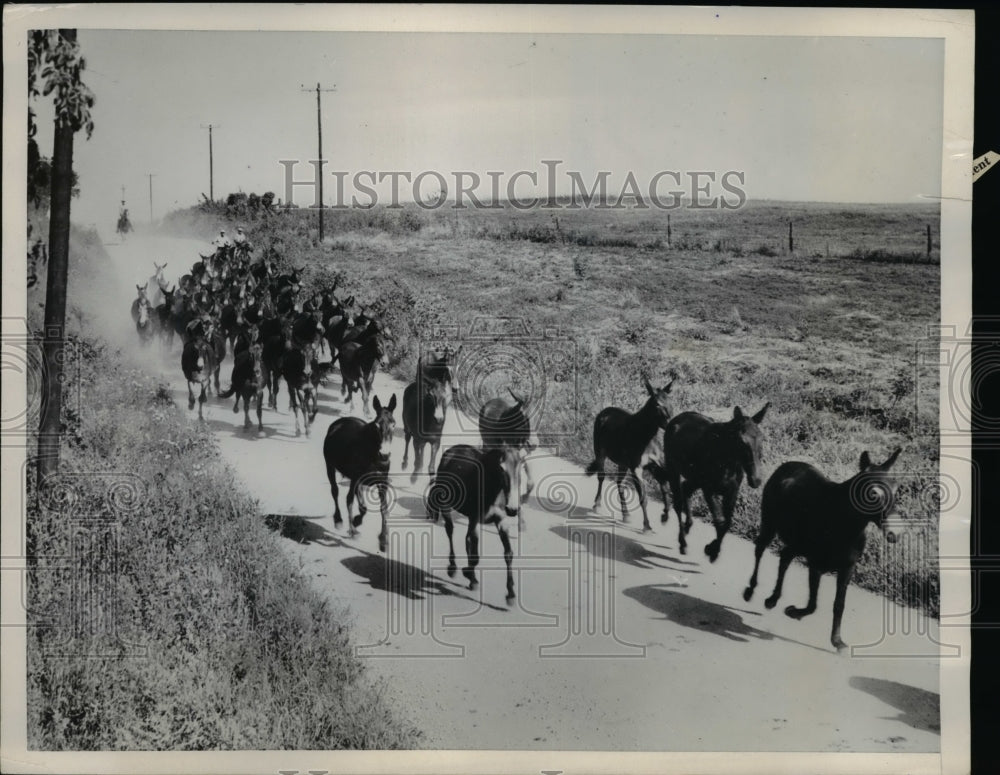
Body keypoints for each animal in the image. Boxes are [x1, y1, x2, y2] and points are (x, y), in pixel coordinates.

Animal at [322, 394, 396, 552]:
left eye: (394, 424)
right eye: (377, 425)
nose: (385, 455)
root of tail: (338, 422)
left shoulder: (382, 482)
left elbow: (383, 509)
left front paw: (383, 540)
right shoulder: (356, 477)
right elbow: (351, 500)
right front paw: (354, 526)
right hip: (330, 465)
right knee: (336, 491)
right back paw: (340, 521)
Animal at [426, 442, 528, 608]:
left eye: (521, 466)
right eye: (501, 468)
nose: (512, 509)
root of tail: (453, 449)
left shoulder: (501, 521)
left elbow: (508, 553)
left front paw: (511, 594)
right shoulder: (475, 518)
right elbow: (474, 555)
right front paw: (467, 572)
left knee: (467, 540)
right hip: (447, 505)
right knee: (450, 530)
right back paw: (453, 568)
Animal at [584, 380, 676, 536]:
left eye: (670, 401)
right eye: (657, 404)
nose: (670, 425)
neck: (646, 437)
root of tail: (604, 412)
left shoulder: (655, 466)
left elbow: (665, 490)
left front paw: (665, 517)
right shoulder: (636, 468)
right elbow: (643, 497)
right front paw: (647, 526)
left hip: (623, 463)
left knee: (619, 483)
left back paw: (626, 514)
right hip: (600, 452)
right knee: (601, 476)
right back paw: (597, 504)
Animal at [660, 404, 768, 560]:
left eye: (761, 438)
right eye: (741, 440)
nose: (756, 479)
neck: (727, 462)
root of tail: (674, 420)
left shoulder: (731, 492)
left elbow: (727, 523)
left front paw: (712, 548)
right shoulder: (709, 489)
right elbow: (719, 520)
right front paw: (713, 550)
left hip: (695, 478)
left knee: (685, 489)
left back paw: (688, 526)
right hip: (674, 468)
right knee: (678, 503)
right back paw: (682, 541)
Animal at [744, 446, 908, 652]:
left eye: (896, 489)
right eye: (874, 492)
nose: (896, 533)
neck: (843, 523)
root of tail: (789, 464)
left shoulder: (847, 567)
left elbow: (838, 605)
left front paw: (837, 641)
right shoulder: (816, 562)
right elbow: (813, 603)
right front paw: (793, 612)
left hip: (795, 543)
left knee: (785, 557)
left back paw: (773, 598)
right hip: (769, 523)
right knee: (760, 549)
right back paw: (751, 590)